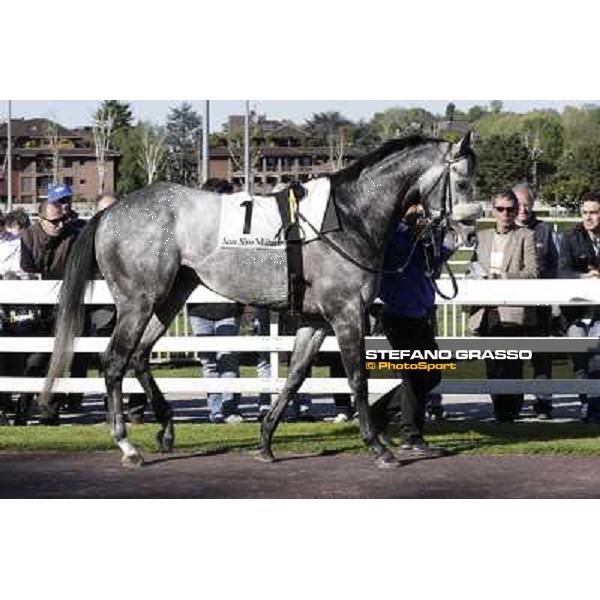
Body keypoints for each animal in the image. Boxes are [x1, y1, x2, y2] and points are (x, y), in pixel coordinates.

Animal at [39, 135, 478, 468]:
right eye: (463, 181)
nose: (470, 235)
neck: (349, 217)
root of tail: (111, 212)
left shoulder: (315, 321)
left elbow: (295, 376)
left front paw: (265, 440)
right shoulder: (347, 314)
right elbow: (357, 379)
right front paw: (378, 446)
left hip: (169, 296)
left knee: (140, 356)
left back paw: (166, 428)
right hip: (138, 300)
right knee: (114, 360)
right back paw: (127, 445)